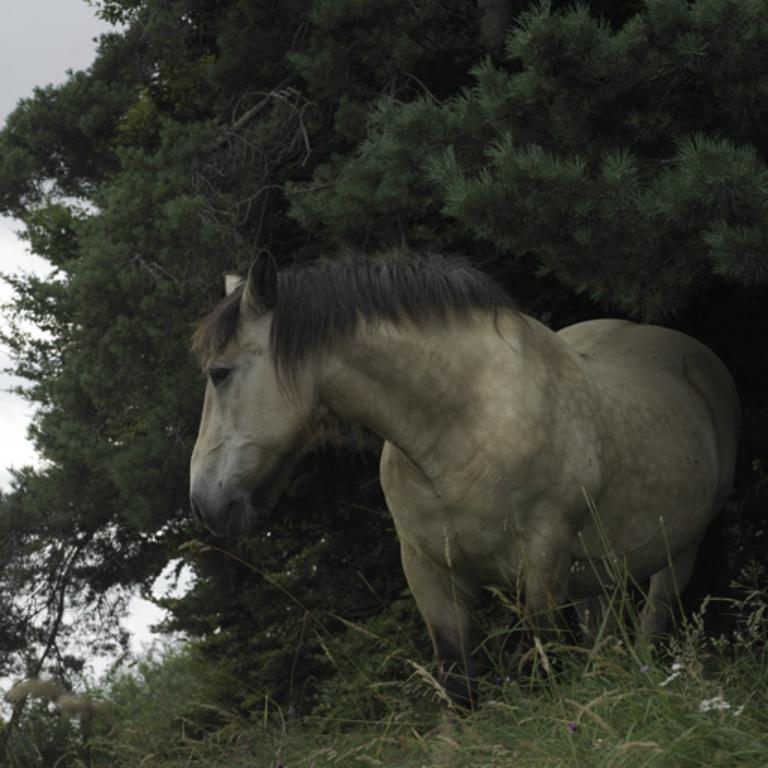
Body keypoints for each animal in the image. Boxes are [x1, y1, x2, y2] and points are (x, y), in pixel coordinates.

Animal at [189, 252, 740, 708]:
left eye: (220, 372)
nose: (204, 502)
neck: (459, 430)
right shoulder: (430, 576)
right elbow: (458, 692)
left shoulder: (542, 567)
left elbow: (546, 667)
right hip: (596, 574)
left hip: (677, 553)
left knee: (652, 625)